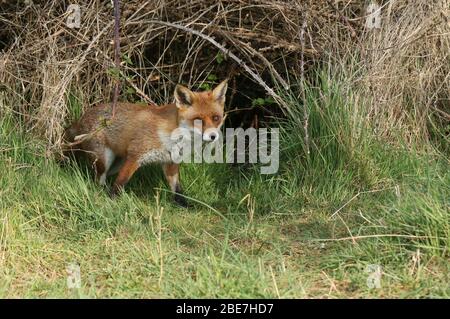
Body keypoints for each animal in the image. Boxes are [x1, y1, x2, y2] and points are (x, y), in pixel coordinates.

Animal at [65, 80, 227, 208]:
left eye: (216, 118)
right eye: (198, 120)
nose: (213, 136)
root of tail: (82, 117)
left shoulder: (170, 163)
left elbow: (178, 190)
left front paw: (184, 206)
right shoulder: (135, 157)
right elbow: (120, 183)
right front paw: (111, 202)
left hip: (116, 164)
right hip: (105, 161)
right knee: (98, 179)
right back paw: (100, 192)